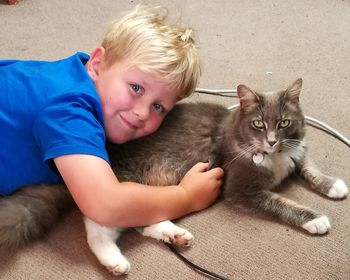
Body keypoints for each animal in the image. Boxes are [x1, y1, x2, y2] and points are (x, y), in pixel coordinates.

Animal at [0, 77, 348, 274]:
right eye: (259, 124)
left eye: (284, 123)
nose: (273, 141)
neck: (275, 157)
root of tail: (100, 148)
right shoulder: (242, 189)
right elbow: (283, 204)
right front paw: (316, 219)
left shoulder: (297, 153)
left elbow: (311, 169)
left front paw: (335, 186)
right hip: (125, 186)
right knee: (100, 225)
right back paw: (116, 261)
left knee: (141, 222)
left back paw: (175, 235)